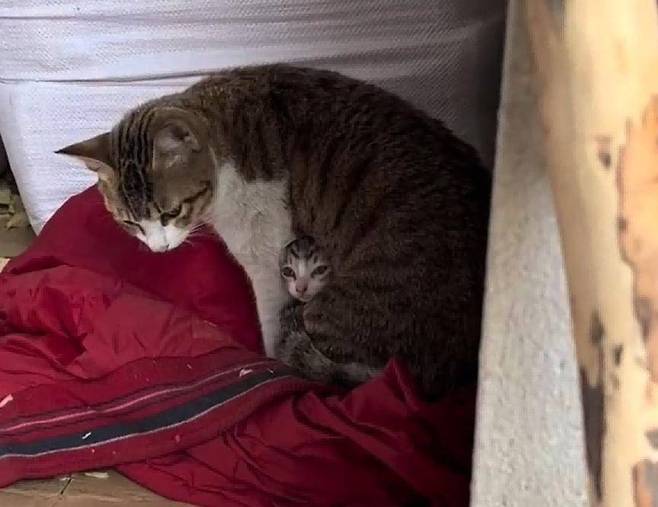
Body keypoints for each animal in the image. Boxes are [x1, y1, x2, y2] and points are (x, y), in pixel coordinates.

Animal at [56, 64, 491, 398]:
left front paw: (268, 361)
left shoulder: (266, 256)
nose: (159, 249)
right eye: (131, 223)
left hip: (347, 304)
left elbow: (270, 319)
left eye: (172, 212)